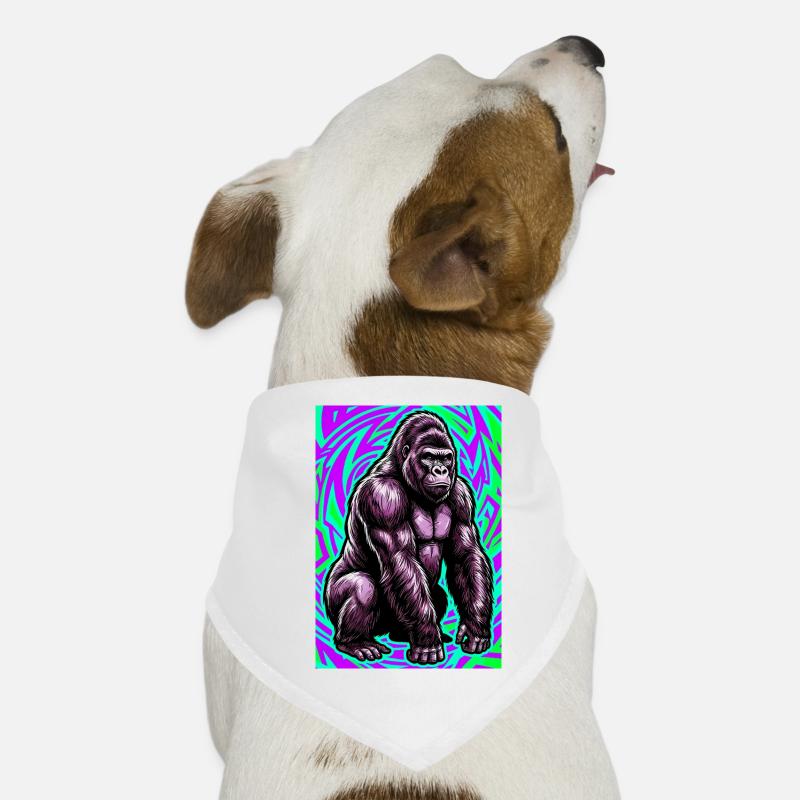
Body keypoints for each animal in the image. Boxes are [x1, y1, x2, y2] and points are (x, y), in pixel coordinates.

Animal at [323, 411, 494, 664]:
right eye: (428, 457)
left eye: (446, 458)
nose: (440, 471)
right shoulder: (383, 496)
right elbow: (399, 558)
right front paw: (427, 639)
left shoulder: (461, 494)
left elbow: (466, 554)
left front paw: (475, 626)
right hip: (332, 600)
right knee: (363, 586)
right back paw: (355, 642)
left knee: (436, 594)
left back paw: (403, 634)